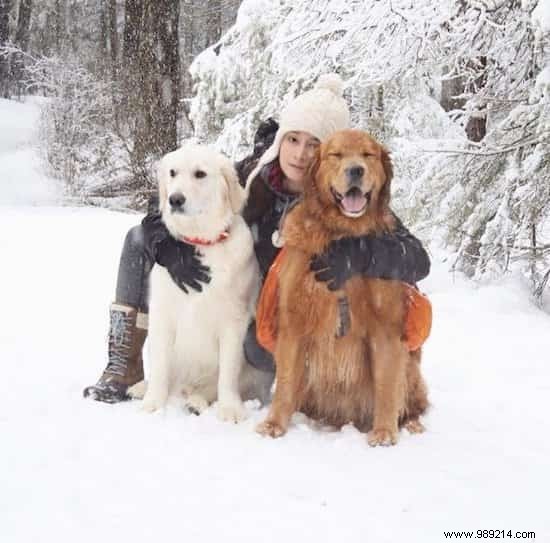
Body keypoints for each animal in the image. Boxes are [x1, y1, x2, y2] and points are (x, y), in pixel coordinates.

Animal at [132, 143, 274, 420]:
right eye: (173, 172)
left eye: (200, 174)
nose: (175, 199)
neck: (201, 243)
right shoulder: (162, 315)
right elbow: (160, 367)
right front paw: (153, 403)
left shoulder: (233, 321)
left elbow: (227, 374)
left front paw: (230, 409)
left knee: (208, 388)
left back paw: (196, 402)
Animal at [256, 131, 430, 446]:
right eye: (335, 155)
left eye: (368, 155)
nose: (356, 170)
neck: (344, 237)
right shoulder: (294, 322)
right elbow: (285, 382)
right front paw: (274, 423)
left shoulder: (386, 328)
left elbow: (387, 385)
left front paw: (384, 431)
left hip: (412, 367)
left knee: (413, 403)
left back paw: (411, 424)